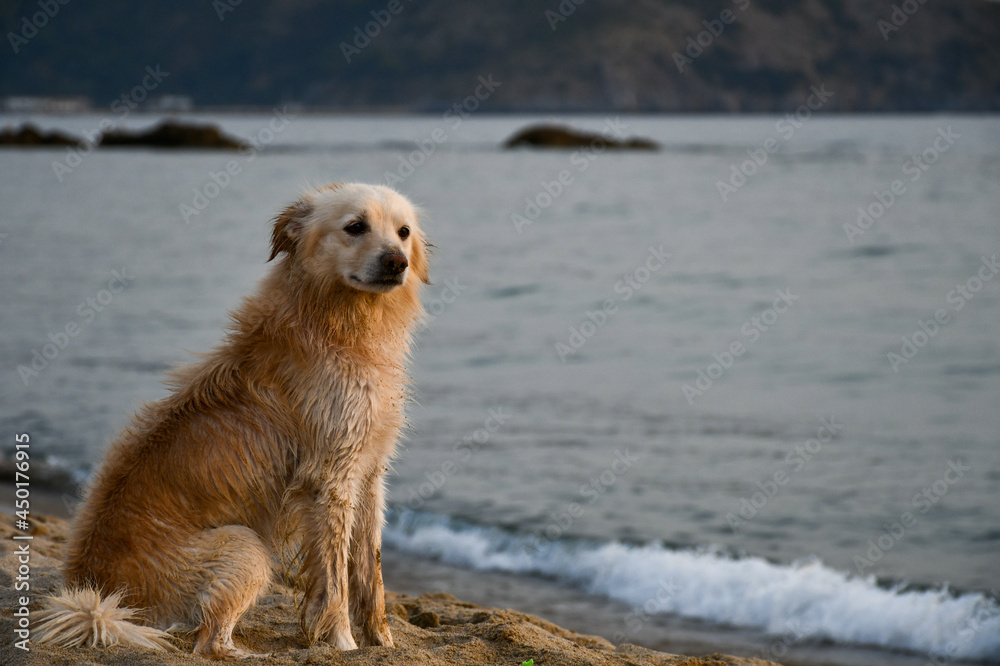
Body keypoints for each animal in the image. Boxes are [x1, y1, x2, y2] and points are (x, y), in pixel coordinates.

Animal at [36, 183, 430, 660]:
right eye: (355, 226)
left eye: (403, 231)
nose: (397, 262)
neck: (337, 322)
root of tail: (94, 592)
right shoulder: (330, 482)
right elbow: (334, 583)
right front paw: (343, 644)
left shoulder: (369, 473)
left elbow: (371, 572)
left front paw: (382, 643)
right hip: (246, 548)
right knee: (209, 643)